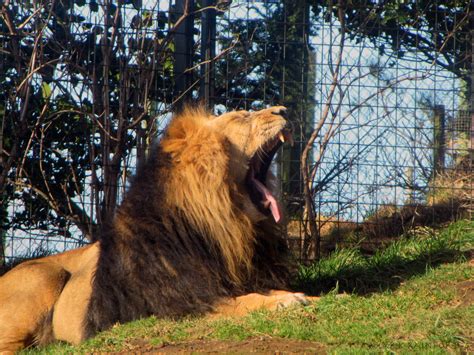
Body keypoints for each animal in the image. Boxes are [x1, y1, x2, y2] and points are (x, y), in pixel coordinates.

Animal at [0, 105, 312, 354]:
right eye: (242, 117)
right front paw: (285, 302)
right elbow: (243, 303)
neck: (224, 227)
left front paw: (304, 297)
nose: (283, 110)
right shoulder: (177, 304)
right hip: (44, 277)